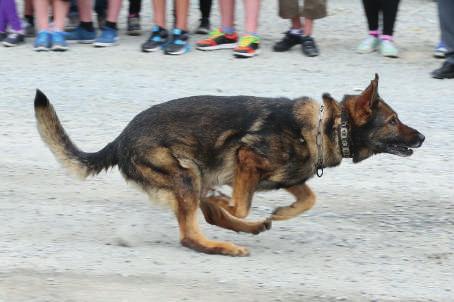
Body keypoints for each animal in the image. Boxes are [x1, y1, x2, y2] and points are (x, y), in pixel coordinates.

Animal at [35, 74, 426, 256]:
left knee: (205, 220)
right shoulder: (246, 159)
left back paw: (248, 228)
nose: (422, 137)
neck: (326, 125)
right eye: (393, 120)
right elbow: (239, 203)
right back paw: (224, 242)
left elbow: (308, 198)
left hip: (191, 177)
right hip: (186, 175)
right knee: (191, 233)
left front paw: (282, 213)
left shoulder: (288, 177)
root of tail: (120, 139)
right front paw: (226, 202)